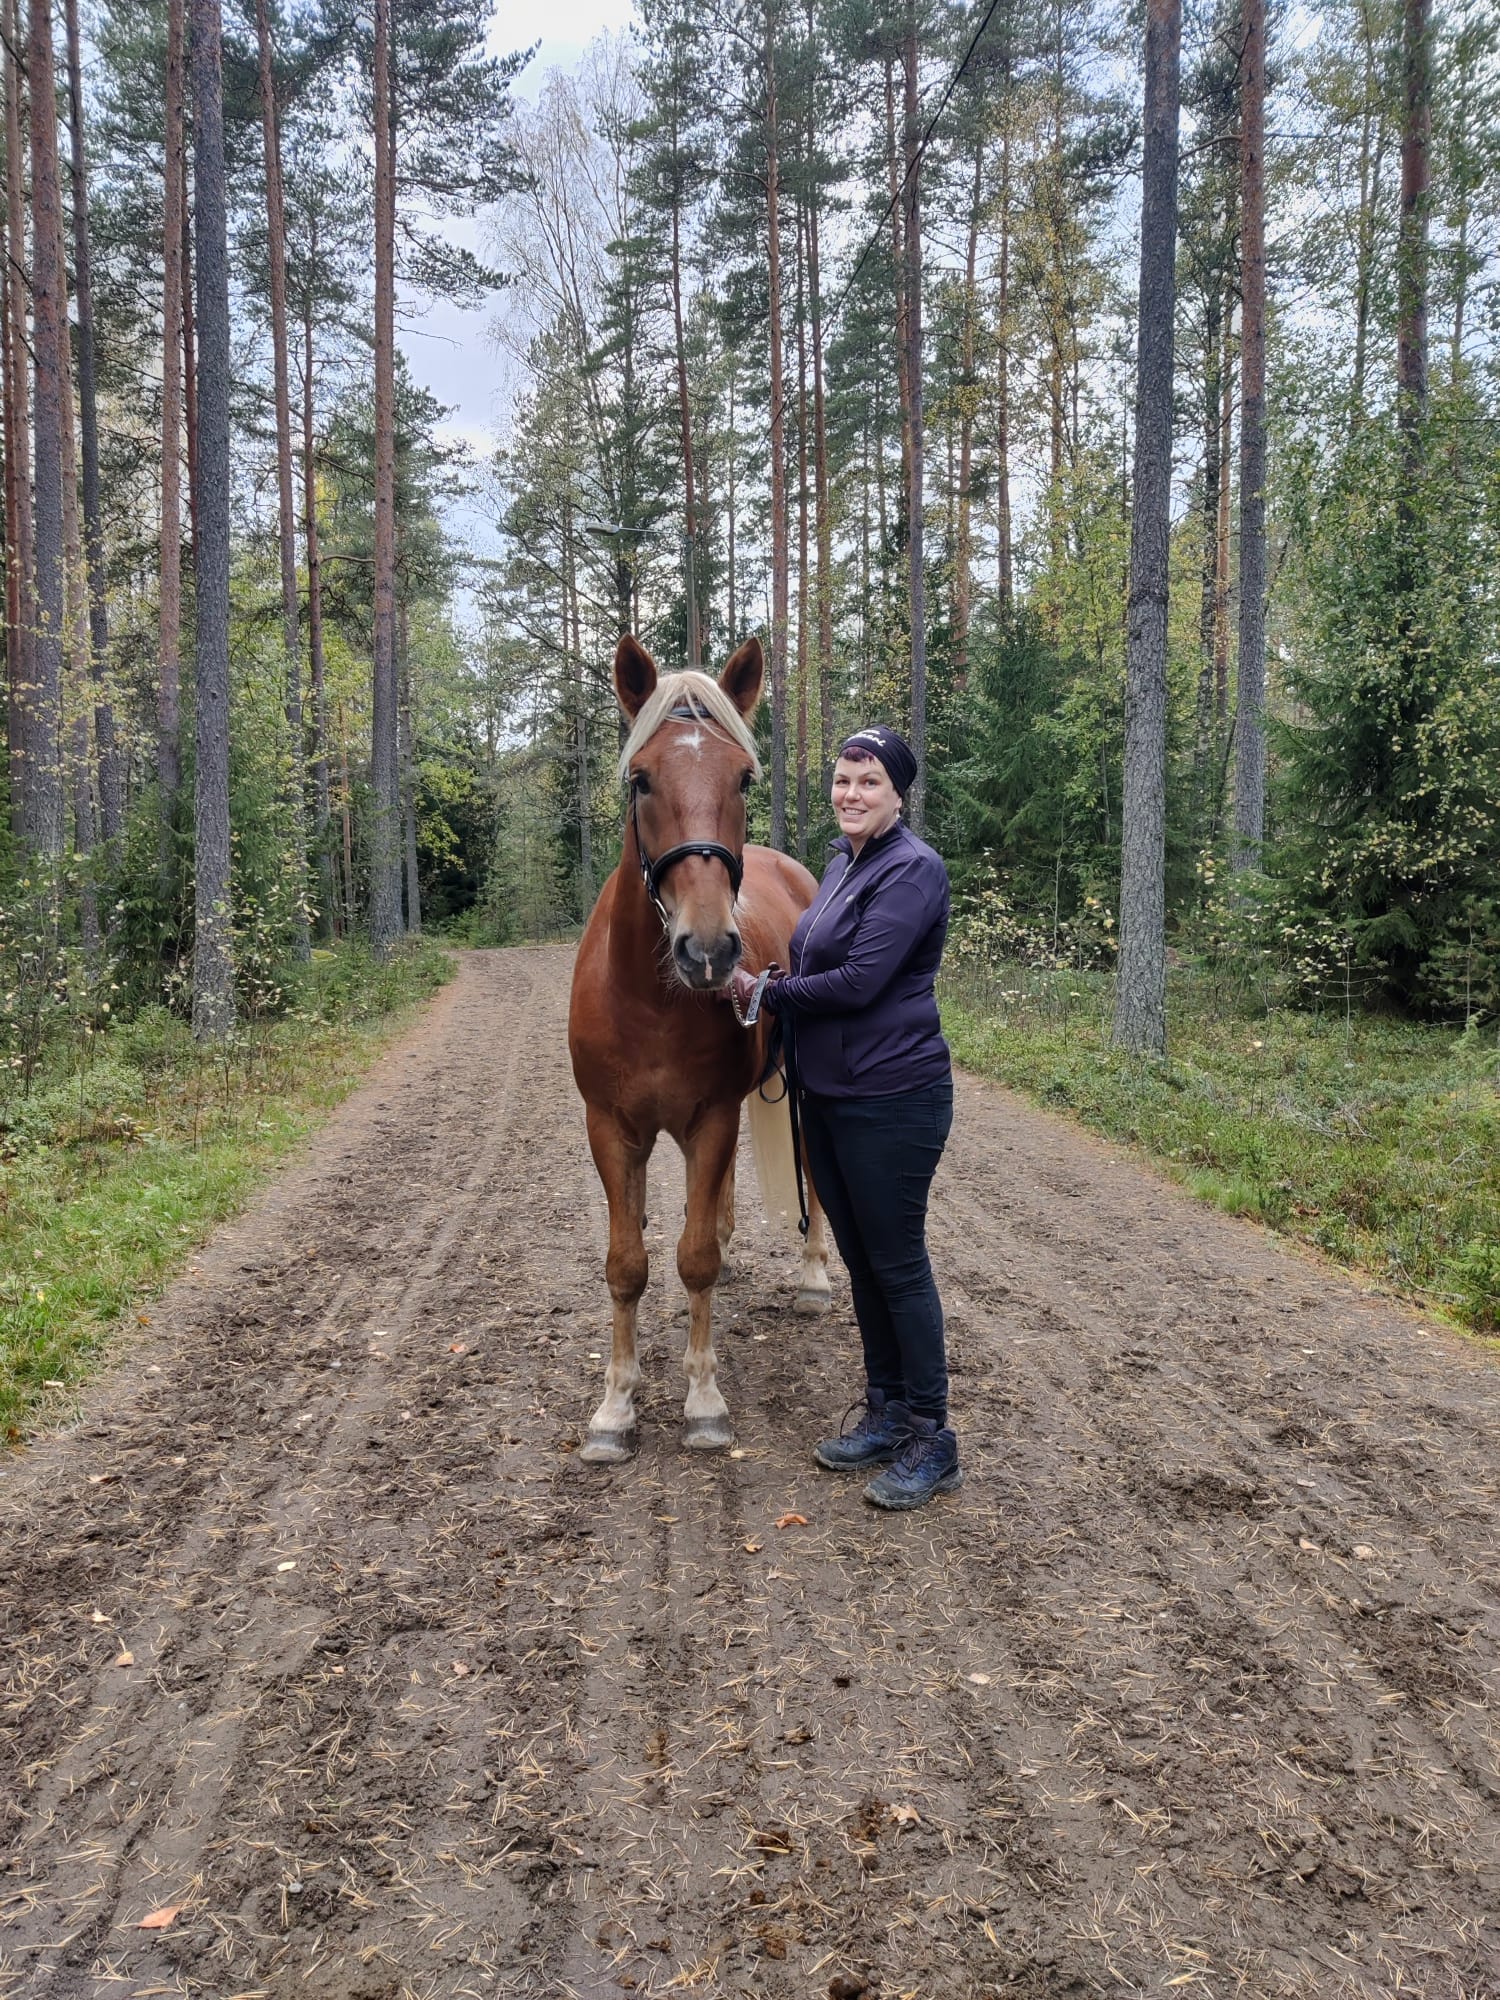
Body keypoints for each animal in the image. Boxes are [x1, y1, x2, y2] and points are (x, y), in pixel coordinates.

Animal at [568, 632, 840, 1464]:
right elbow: (627, 1264)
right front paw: (615, 1408)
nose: (710, 949)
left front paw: (704, 1401)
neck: (652, 998)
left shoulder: (712, 1119)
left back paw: (813, 1277)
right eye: (641, 778)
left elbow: (694, 1262)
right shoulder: (612, 1130)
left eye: (742, 775)